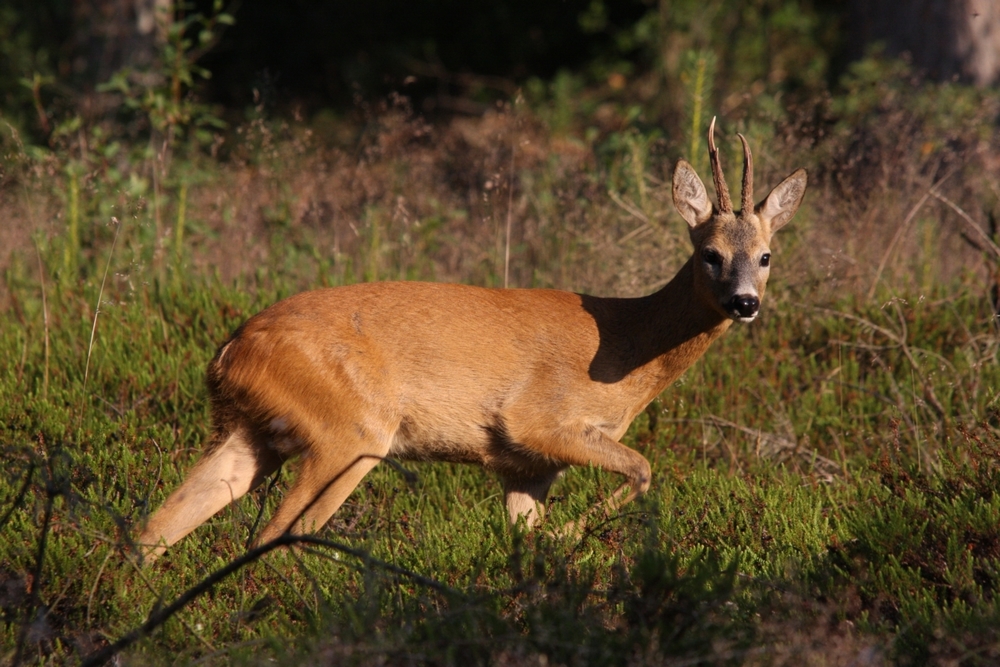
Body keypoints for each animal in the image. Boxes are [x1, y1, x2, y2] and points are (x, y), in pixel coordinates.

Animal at [135, 117, 804, 560]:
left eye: (766, 255)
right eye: (710, 253)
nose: (745, 303)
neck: (624, 348)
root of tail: (230, 351)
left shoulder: (526, 467)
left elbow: (525, 528)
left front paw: (543, 552)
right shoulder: (537, 420)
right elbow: (642, 468)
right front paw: (568, 537)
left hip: (253, 432)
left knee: (157, 528)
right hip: (351, 431)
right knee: (277, 533)